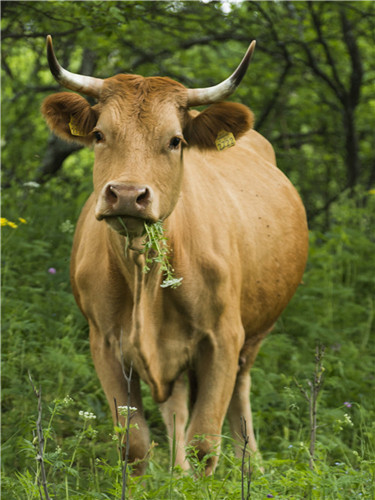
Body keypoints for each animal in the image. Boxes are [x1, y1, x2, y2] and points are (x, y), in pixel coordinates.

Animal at [42, 36, 310, 476]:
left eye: (175, 140)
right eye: (99, 134)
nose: (128, 194)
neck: (143, 274)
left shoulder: (222, 339)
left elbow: (205, 443)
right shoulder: (104, 341)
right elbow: (134, 443)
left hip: (255, 332)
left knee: (240, 392)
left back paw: (250, 466)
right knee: (177, 407)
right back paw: (178, 470)